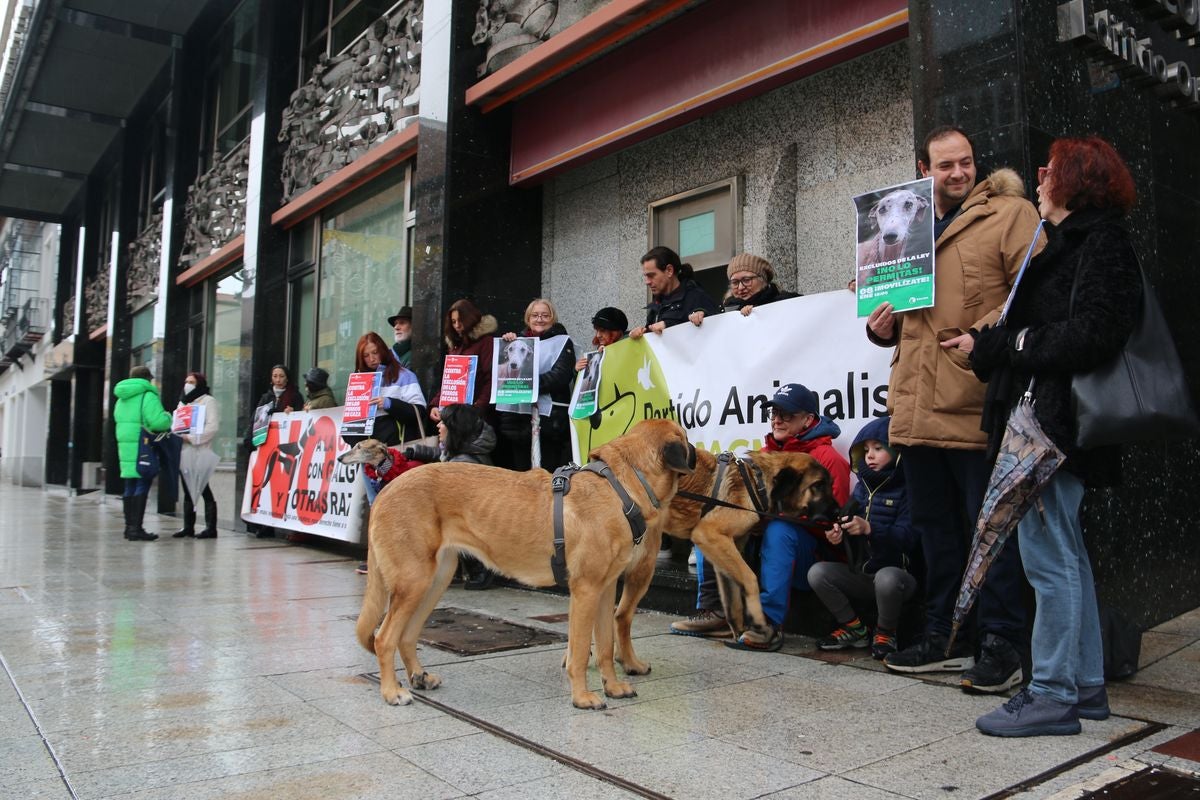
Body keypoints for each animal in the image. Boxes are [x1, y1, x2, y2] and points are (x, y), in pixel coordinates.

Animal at [609, 450, 835, 676]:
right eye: (818, 485)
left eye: (830, 484)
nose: (839, 513)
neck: (758, 482)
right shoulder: (710, 535)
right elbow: (750, 578)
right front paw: (758, 622)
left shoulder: (724, 549)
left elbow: (732, 595)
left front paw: (738, 628)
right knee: (620, 613)